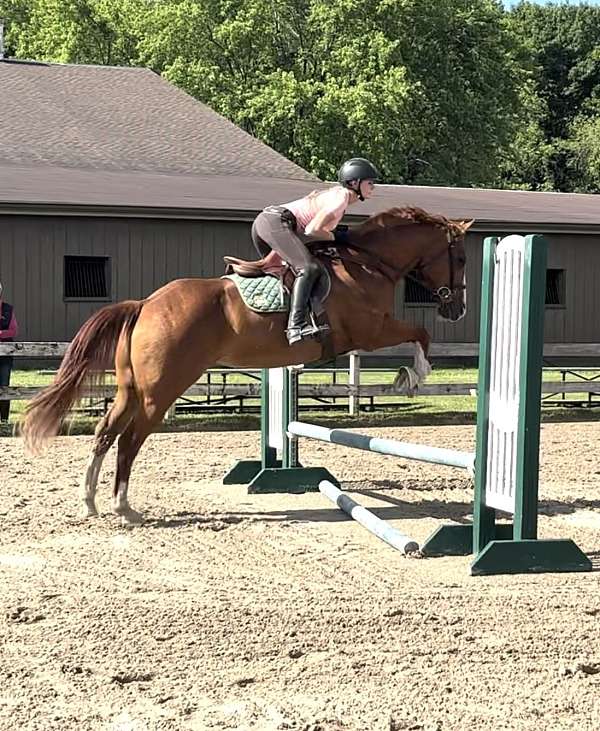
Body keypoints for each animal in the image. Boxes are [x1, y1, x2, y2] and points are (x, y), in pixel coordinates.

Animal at [19, 209, 474, 524]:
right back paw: (124, 507)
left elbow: (416, 334)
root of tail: (146, 304)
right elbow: (419, 334)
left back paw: (90, 502)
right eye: (463, 259)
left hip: (131, 389)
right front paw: (412, 376)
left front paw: (408, 375)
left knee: (104, 431)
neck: (368, 263)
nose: (458, 310)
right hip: (160, 391)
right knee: (130, 440)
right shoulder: (370, 331)